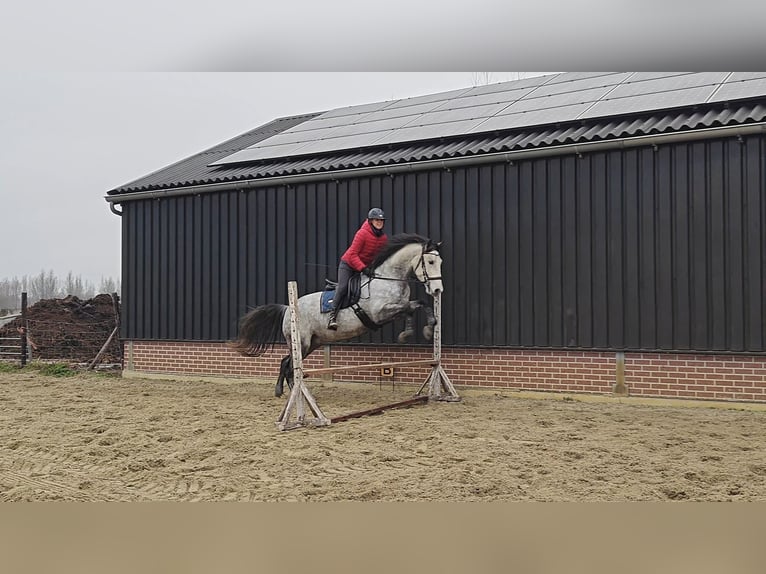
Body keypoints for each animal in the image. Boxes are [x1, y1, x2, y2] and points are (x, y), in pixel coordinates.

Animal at [231, 234, 444, 397]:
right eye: (430, 261)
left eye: (440, 262)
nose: (437, 290)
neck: (388, 278)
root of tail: (287, 309)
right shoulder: (381, 312)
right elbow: (411, 308)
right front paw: (424, 329)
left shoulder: (396, 309)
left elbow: (416, 306)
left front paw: (421, 329)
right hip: (301, 342)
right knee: (289, 364)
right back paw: (287, 393)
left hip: (313, 343)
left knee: (288, 363)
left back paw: (289, 391)